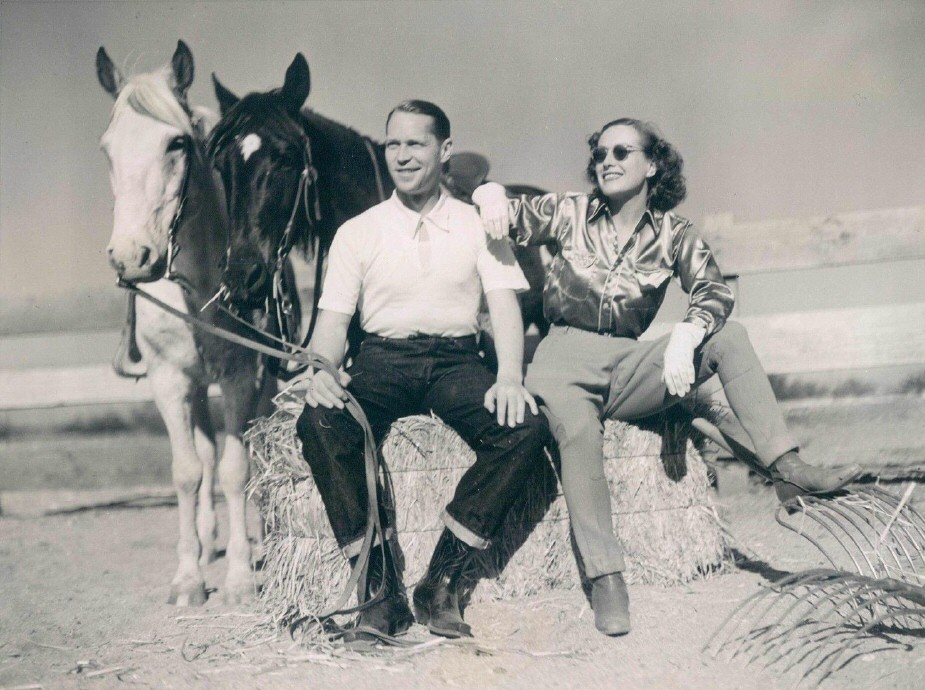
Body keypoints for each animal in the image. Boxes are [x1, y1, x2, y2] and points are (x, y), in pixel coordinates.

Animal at [96, 41, 266, 600]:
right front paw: (190, 577)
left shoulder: (241, 377)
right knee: (205, 455)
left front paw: (239, 579)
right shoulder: (168, 381)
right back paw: (209, 541)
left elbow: (236, 469)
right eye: (107, 149)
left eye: (177, 143)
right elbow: (188, 472)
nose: (131, 257)